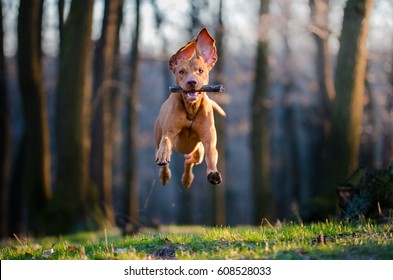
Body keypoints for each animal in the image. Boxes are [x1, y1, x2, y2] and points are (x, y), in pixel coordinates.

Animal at [155, 27, 225, 188]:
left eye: (200, 71)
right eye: (181, 72)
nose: (192, 82)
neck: (191, 108)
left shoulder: (208, 139)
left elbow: (211, 154)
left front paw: (213, 173)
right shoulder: (169, 131)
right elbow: (166, 141)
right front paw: (163, 155)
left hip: (197, 150)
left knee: (191, 160)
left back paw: (187, 178)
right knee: (165, 155)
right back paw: (164, 174)